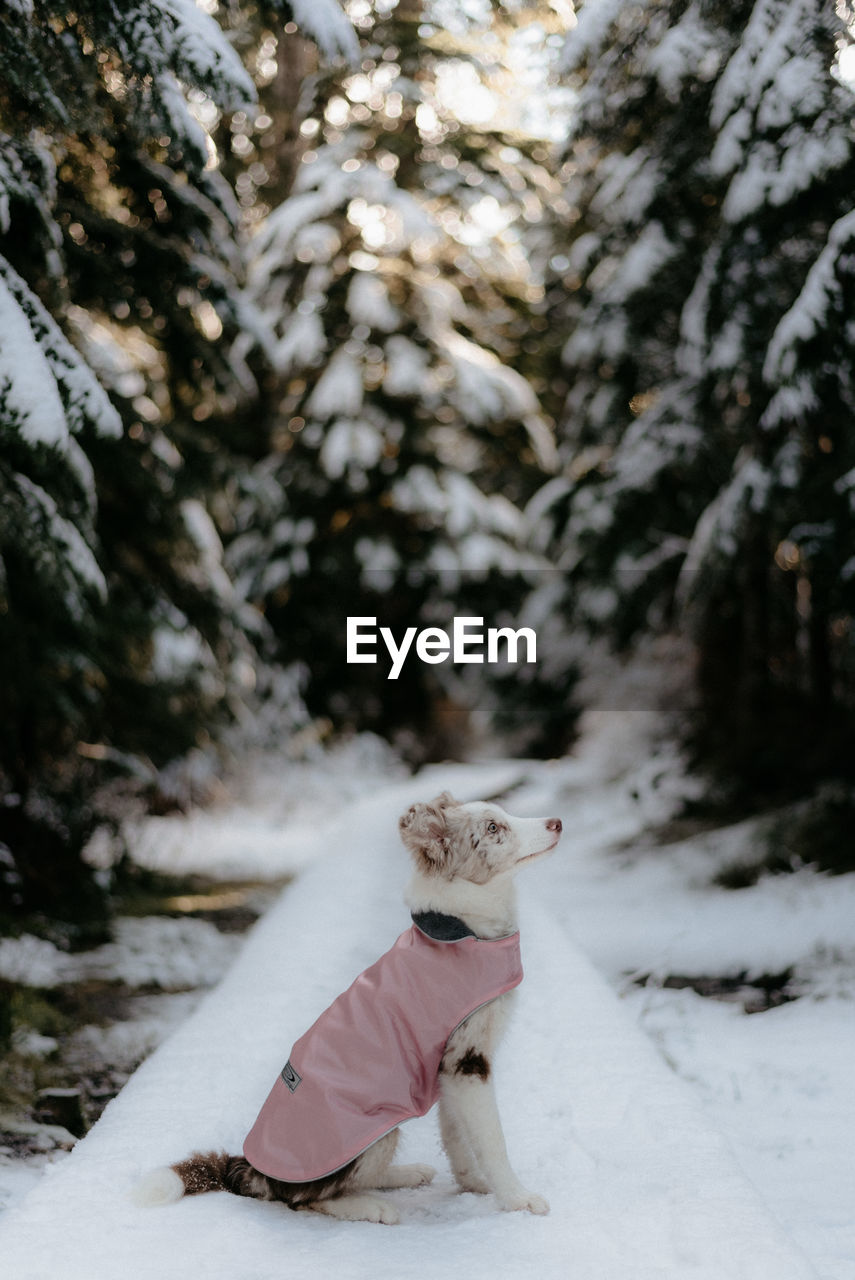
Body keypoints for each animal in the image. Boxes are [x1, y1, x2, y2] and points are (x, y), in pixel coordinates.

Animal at [135, 793, 560, 1223]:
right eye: (492, 828)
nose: (557, 823)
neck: (463, 929)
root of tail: (255, 1170)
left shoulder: (450, 1064)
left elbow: (455, 1132)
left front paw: (473, 1184)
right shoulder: (468, 1062)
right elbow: (492, 1139)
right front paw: (517, 1198)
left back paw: (405, 1173)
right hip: (375, 1130)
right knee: (308, 1198)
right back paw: (372, 1205)